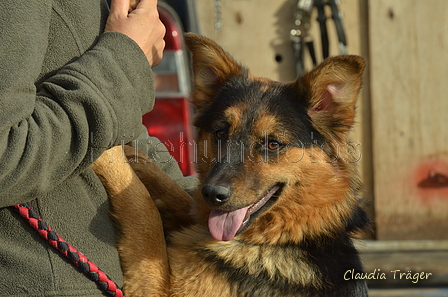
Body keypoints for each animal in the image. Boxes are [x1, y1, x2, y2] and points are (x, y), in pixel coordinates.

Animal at [91, 33, 368, 296]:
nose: (213, 194)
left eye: (273, 144)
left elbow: (144, 213)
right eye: (220, 133)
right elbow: (173, 193)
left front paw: (105, 148)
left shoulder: (159, 289)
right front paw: (131, 153)